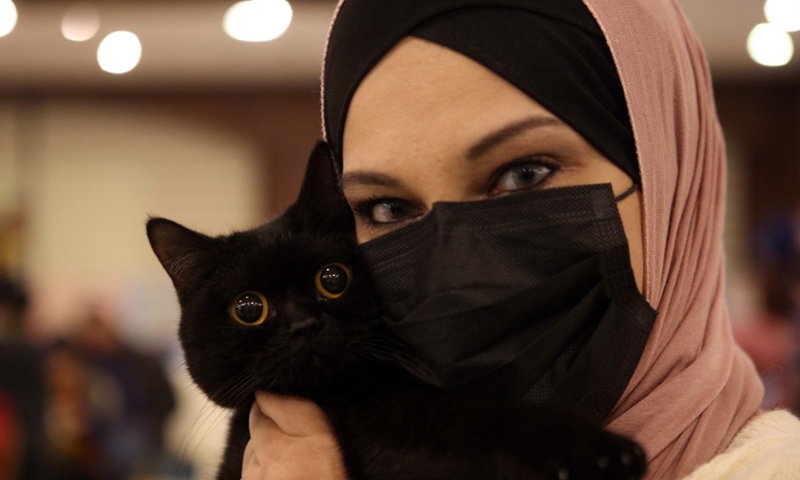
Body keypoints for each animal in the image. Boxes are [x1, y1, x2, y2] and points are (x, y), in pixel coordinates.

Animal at [147, 141, 648, 478]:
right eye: (249, 308)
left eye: (332, 279)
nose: (303, 324)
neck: (351, 400)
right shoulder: (406, 430)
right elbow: (478, 422)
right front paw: (597, 451)